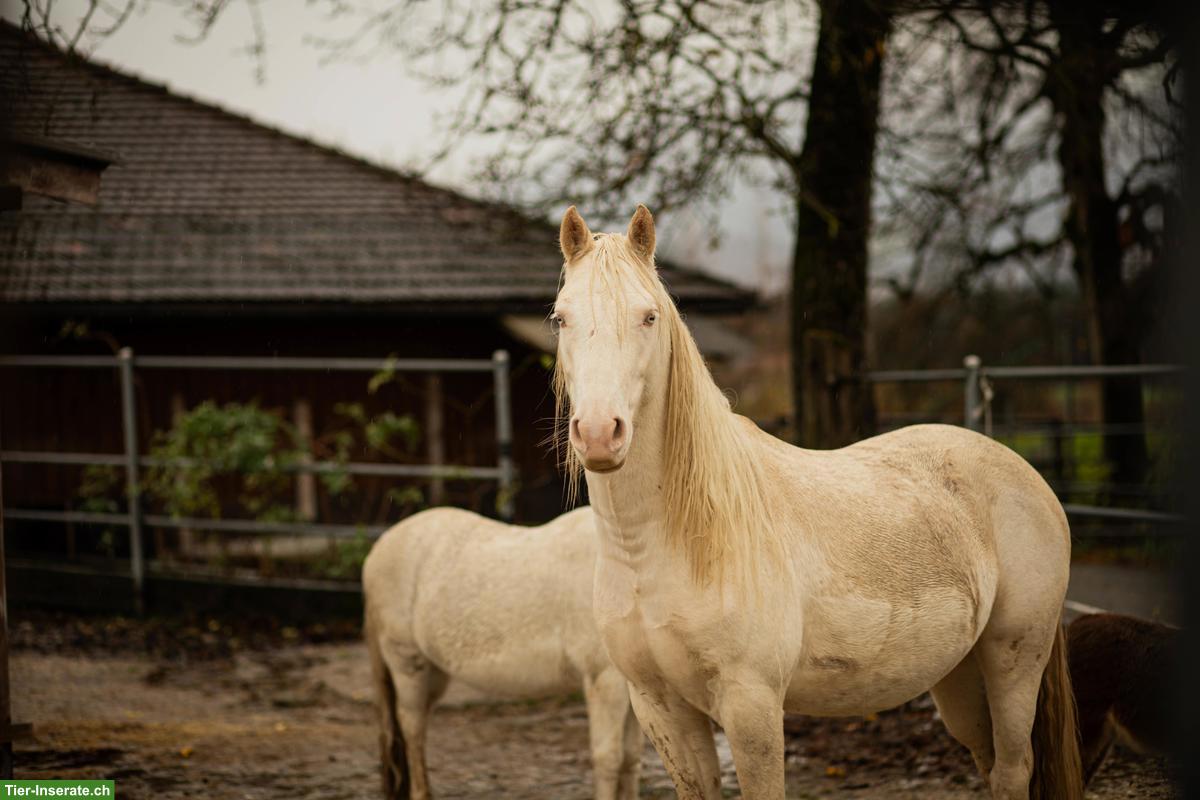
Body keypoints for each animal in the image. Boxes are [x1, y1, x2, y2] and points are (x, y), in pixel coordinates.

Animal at [362, 506, 643, 800]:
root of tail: (379, 547)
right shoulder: (604, 679)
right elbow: (609, 758)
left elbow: (630, 759)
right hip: (408, 664)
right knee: (412, 727)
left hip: (434, 673)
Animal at [548, 204, 1084, 800]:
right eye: (560, 318)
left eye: (648, 317)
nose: (600, 434)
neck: (659, 546)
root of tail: (1026, 475)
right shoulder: (660, 707)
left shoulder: (752, 706)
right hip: (960, 675)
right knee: (989, 764)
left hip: (1015, 657)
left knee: (1013, 768)